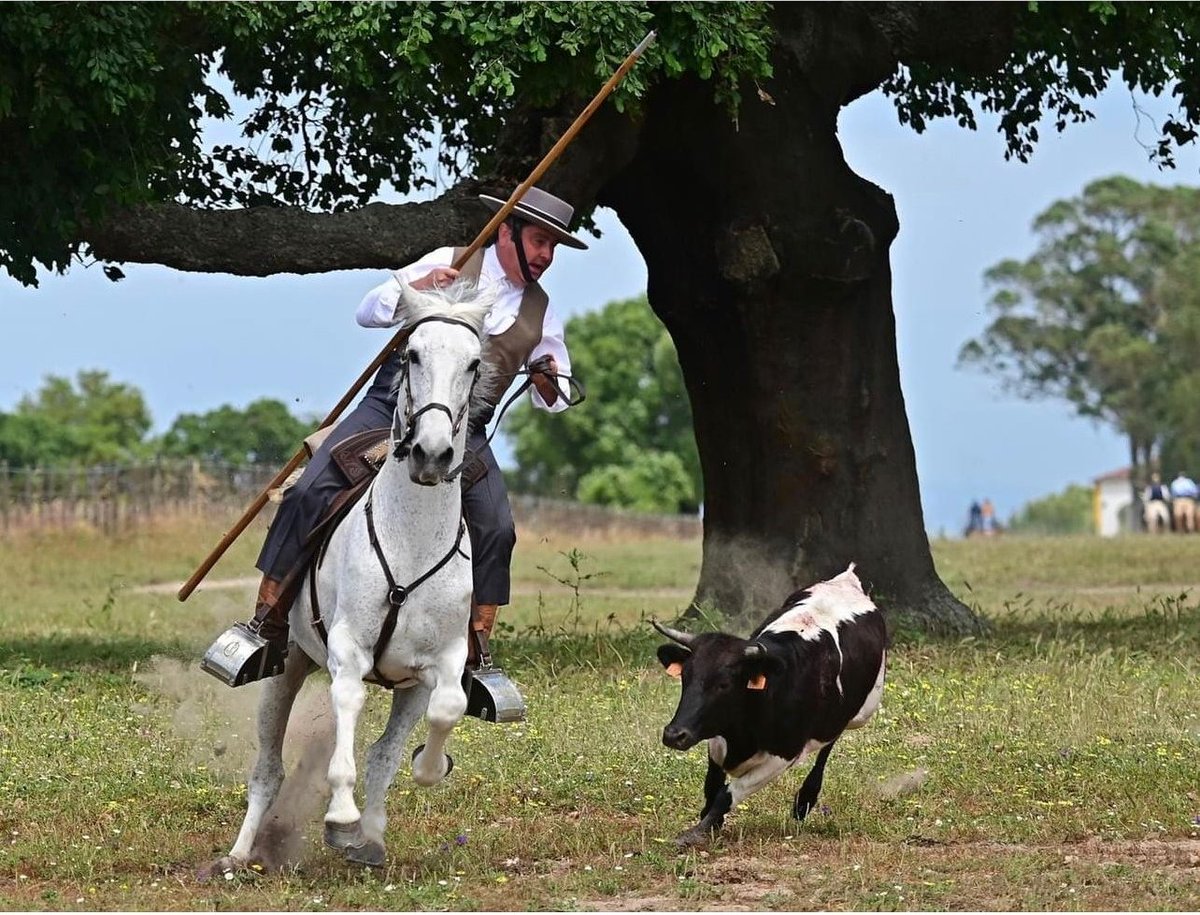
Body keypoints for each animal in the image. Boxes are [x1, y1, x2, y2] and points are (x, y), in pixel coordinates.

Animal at [218, 282, 494, 864]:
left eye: (474, 363)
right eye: (411, 354)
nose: (431, 453)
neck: (410, 541)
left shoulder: (440, 662)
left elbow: (446, 710)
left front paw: (424, 772)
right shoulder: (347, 649)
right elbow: (348, 701)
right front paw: (341, 816)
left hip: (404, 687)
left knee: (384, 753)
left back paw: (369, 838)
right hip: (287, 662)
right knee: (268, 768)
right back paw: (239, 853)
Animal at [652, 559, 888, 845]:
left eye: (724, 684)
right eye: (685, 677)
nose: (674, 735)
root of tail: (847, 581)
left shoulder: (783, 755)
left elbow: (726, 795)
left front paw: (695, 833)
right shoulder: (718, 738)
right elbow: (712, 787)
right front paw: (709, 823)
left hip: (862, 712)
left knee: (830, 741)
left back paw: (804, 801)